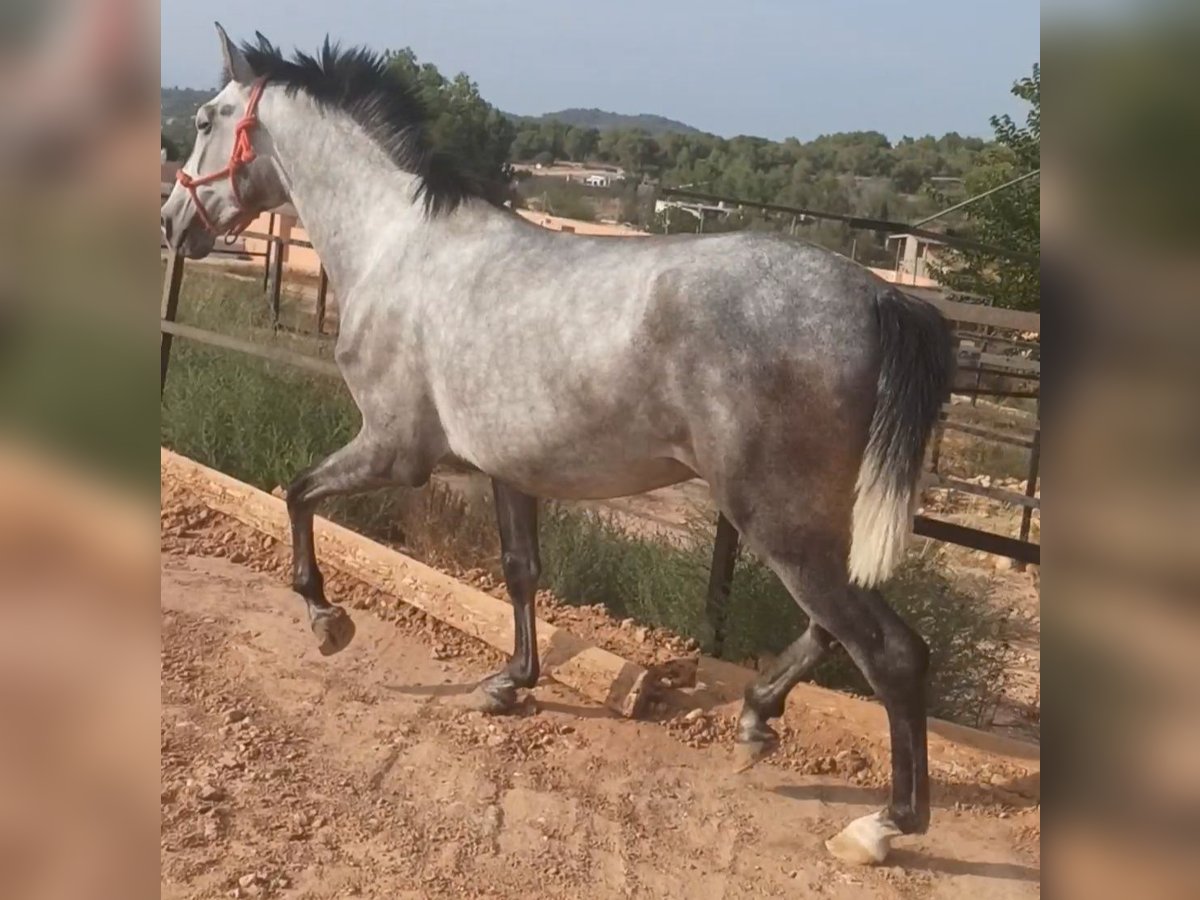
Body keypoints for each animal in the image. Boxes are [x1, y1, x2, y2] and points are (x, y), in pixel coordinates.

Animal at [162, 26, 955, 868]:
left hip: (777, 518)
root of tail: (879, 296)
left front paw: (327, 622)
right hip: (812, 522)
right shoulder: (509, 468)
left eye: (207, 118)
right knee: (831, 631)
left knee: (890, 651)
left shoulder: (393, 451)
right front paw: (510, 682)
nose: (172, 221)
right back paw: (755, 718)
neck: (397, 249)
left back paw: (881, 826)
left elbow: (296, 492)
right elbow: (520, 571)